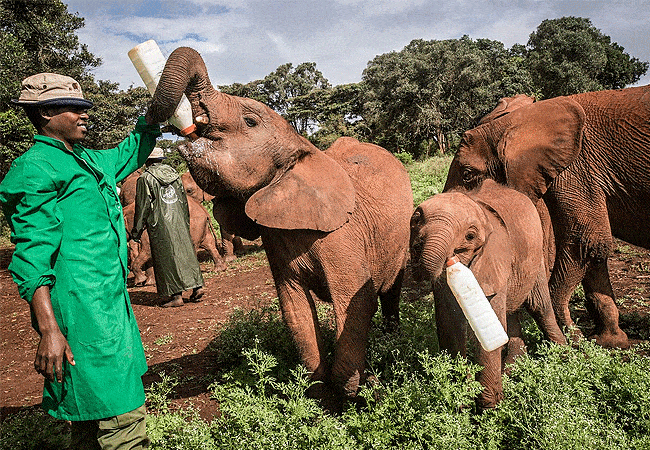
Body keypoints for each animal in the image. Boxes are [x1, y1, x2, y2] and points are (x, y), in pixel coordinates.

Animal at [145, 44, 412, 398]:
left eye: (250, 121)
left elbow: (355, 303)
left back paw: (391, 339)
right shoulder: (276, 237)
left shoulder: (344, 234)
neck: (302, 145)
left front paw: (355, 392)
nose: (162, 124)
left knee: (392, 288)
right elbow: (294, 308)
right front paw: (317, 393)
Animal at [410, 178, 568, 408]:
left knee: (539, 306)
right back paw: (513, 370)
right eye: (415, 222)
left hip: (536, 257)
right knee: (511, 314)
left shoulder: (494, 257)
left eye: (470, 236)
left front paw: (489, 408)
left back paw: (564, 358)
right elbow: (449, 323)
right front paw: (460, 402)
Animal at [446, 86, 648, 350]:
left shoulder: (578, 167)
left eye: (468, 175)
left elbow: (586, 240)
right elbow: (593, 248)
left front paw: (574, 340)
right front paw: (608, 342)